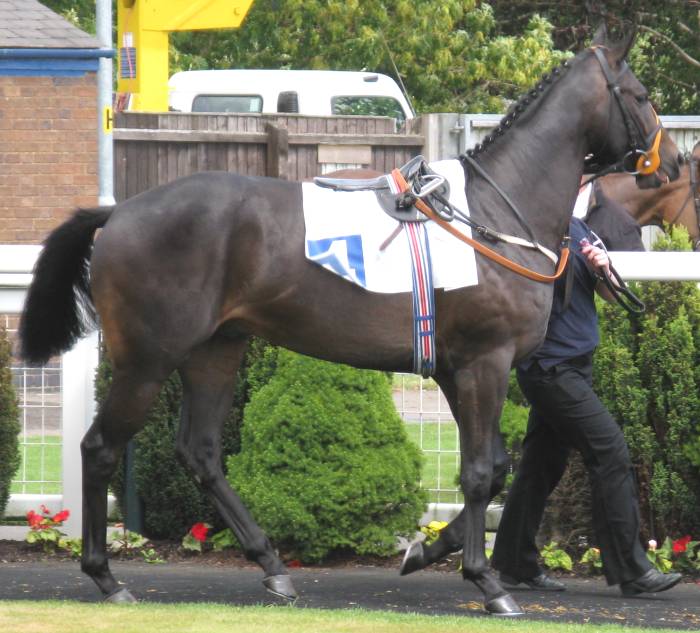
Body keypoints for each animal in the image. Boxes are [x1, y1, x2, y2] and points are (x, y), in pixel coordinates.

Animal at [18, 26, 680, 616]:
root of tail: (119, 212)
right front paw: (488, 583)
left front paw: (424, 551)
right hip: (147, 359)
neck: (492, 213)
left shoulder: (453, 368)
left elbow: (493, 472)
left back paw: (273, 567)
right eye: (641, 94)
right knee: (100, 447)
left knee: (200, 452)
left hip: (216, 350)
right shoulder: (484, 362)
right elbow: (479, 472)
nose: (673, 160)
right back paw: (107, 578)